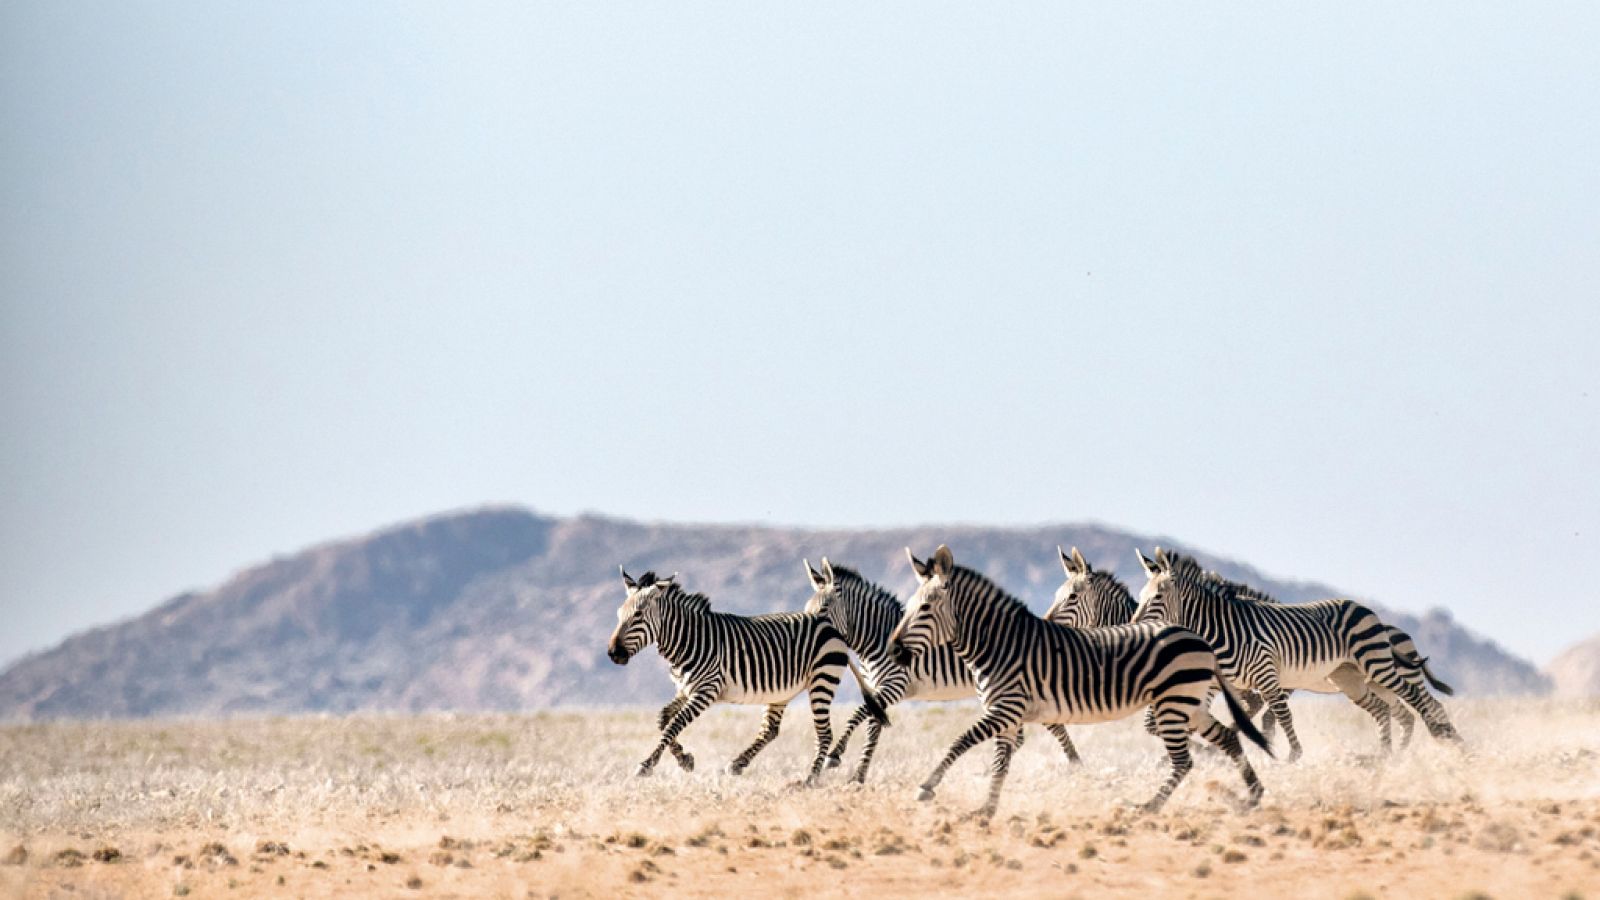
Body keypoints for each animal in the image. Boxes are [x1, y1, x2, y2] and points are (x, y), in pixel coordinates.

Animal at [604, 566, 896, 778]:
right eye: (618, 614)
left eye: (638, 615)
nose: (613, 653)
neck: (690, 639)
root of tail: (831, 627)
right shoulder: (685, 690)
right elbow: (663, 720)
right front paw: (685, 760)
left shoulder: (706, 690)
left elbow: (674, 724)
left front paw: (647, 764)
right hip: (782, 692)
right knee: (770, 730)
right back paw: (738, 764)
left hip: (822, 680)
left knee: (824, 733)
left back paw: (809, 780)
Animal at [806, 557, 1081, 781]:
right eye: (807, 610)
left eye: (823, 609)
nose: (809, 633)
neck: (877, 638)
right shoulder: (877, 690)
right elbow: (873, 728)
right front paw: (858, 777)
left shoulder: (895, 684)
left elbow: (858, 713)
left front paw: (835, 755)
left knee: (1051, 726)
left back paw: (1074, 763)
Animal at [883, 544, 1267, 816]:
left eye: (926, 608)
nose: (893, 650)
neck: (999, 644)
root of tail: (1199, 638)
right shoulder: (1008, 716)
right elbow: (1000, 764)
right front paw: (986, 809)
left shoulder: (1006, 709)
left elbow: (959, 741)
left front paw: (927, 787)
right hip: (1189, 704)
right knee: (1228, 738)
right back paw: (1252, 796)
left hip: (1174, 704)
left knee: (1185, 761)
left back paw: (1149, 807)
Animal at [1043, 544, 1459, 746]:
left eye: (1072, 598)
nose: (1044, 625)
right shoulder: (1232, 686)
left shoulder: (1244, 682)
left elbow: (1268, 718)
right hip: (1355, 681)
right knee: (1398, 713)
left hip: (1380, 670)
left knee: (1424, 704)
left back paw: (1449, 742)